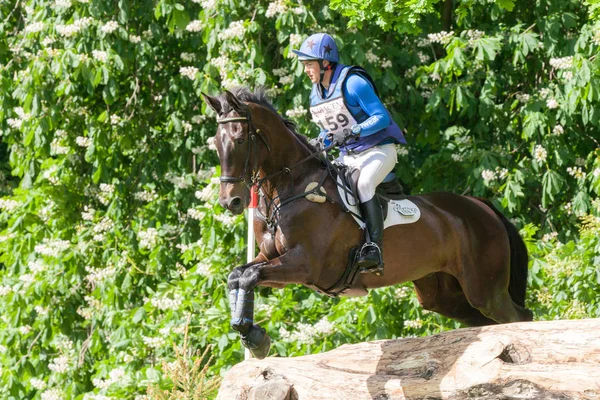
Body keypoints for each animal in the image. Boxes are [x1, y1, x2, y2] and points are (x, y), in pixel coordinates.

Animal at [202, 87, 536, 360]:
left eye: (240, 139)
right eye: (216, 143)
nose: (231, 201)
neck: (287, 187)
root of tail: (482, 207)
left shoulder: (305, 264)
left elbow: (249, 276)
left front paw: (255, 339)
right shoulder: (271, 257)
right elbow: (238, 275)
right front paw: (252, 335)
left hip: (485, 289)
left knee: (520, 317)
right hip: (445, 295)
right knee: (483, 321)